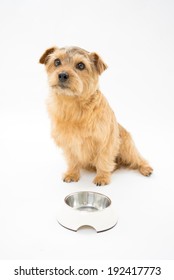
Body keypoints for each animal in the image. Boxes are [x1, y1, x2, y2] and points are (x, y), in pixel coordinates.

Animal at [39, 46, 152, 186]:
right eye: (57, 62)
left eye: (81, 65)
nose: (62, 75)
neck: (73, 105)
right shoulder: (68, 143)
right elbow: (72, 160)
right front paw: (72, 174)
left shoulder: (106, 141)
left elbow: (103, 160)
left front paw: (102, 177)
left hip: (127, 146)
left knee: (138, 159)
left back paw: (146, 168)